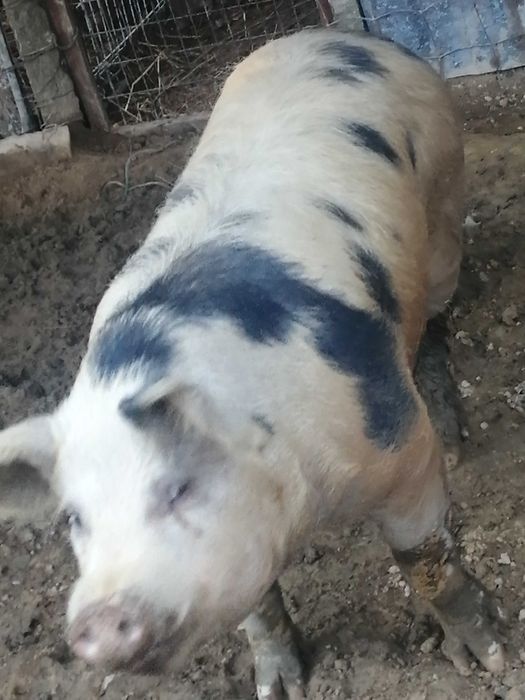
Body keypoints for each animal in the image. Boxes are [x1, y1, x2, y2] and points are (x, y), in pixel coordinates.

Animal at [0, 28, 504, 700]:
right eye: (76, 518)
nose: (99, 622)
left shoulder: (398, 447)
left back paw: (455, 433)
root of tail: (341, 35)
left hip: (446, 192)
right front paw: (280, 687)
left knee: (438, 314)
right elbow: (257, 607)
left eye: (178, 487)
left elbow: (423, 557)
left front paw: (490, 657)